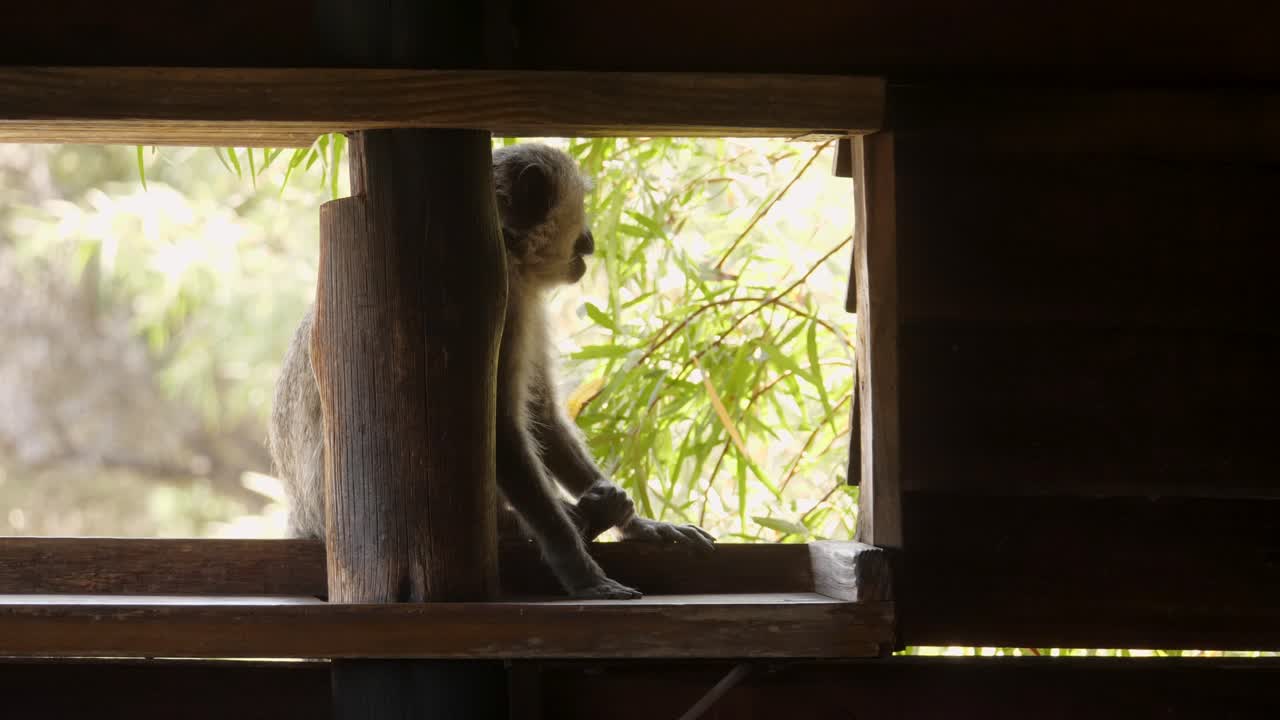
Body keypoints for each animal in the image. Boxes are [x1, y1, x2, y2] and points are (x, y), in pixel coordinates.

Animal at [268, 142, 715, 600]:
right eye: (581, 214)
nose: (590, 241)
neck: (509, 251)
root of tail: (304, 520)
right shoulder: (495, 301)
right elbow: (497, 427)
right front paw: (576, 565)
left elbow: (541, 416)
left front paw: (641, 525)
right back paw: (584, 518)